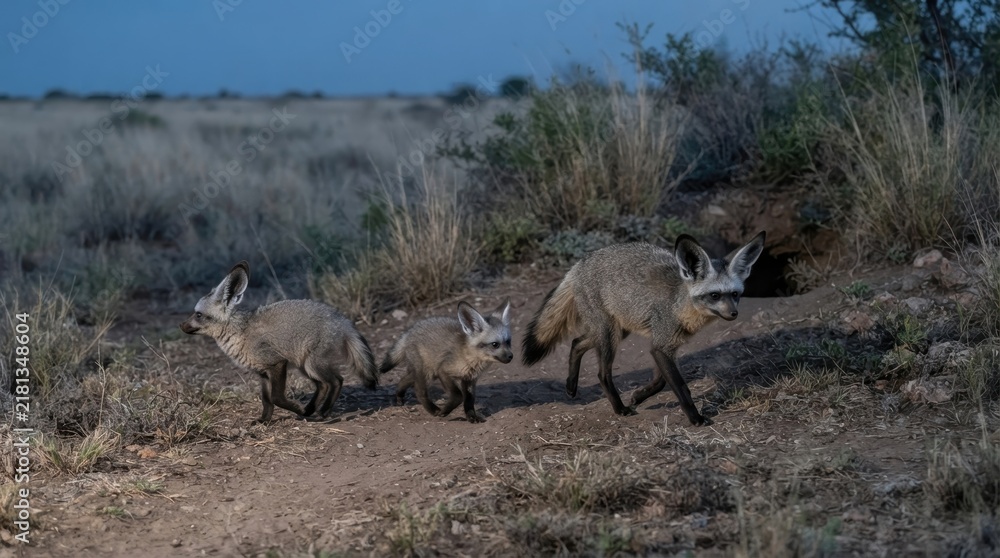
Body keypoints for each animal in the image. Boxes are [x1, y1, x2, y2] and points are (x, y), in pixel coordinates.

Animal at [179, 261, 379, 423]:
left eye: (198, 315)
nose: (180, 325)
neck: (240, 333)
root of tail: (342, 319)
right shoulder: (262, 373)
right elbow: (267, 401)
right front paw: (264, 421)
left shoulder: (276, 364)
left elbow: (276, 398)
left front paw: (295, 408)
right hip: (305, 367)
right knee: (323, 385)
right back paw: (310, 410)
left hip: (313, 365)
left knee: (337, 381)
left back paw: (322, 411)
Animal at [379, 299, 513, 423]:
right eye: (495, 344)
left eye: (508, 342)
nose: (511, 356)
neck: (470, 358)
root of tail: (411, 329)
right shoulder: (443, 371)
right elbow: (458, 396)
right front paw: (445, 411)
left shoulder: (470, 379)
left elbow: (469, 401)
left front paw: (471, 416)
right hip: (426, 373)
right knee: (419, 391)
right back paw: (432, 409)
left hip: (428, 372)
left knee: (404, 380)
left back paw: (399, 396)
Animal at [521, 231, 766, 426]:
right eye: (715, 295)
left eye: (735, 294)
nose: (733, 314)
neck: (680, 305)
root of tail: (579, 264)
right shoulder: (661, 346)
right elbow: (681, 387)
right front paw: (695, 418)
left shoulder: (664, 345)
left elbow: (659, 382)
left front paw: (639, 396)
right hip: (609, 335)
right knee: (602, 373)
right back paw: (619, 408)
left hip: (618, 330)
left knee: (576, 342)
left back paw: (571, 386)